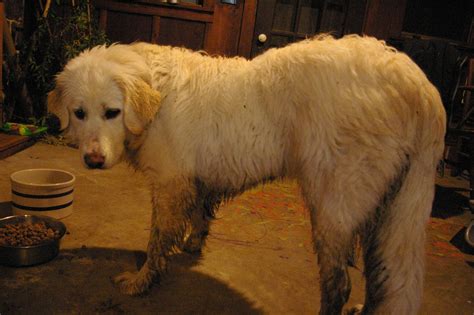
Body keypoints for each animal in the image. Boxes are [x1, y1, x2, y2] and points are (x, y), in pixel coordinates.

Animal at [47, 34, 444, 315]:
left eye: (112, 112)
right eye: (79, 113)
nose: (93, 160)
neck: (156, 93)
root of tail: (418, 83)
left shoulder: (169, 184)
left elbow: (157, 241)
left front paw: (142, 280)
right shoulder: (195, 182)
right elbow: (200, 215)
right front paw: (193, 243)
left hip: (334, 209)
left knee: (339, 286)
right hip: (390, 213)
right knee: (381, 279)